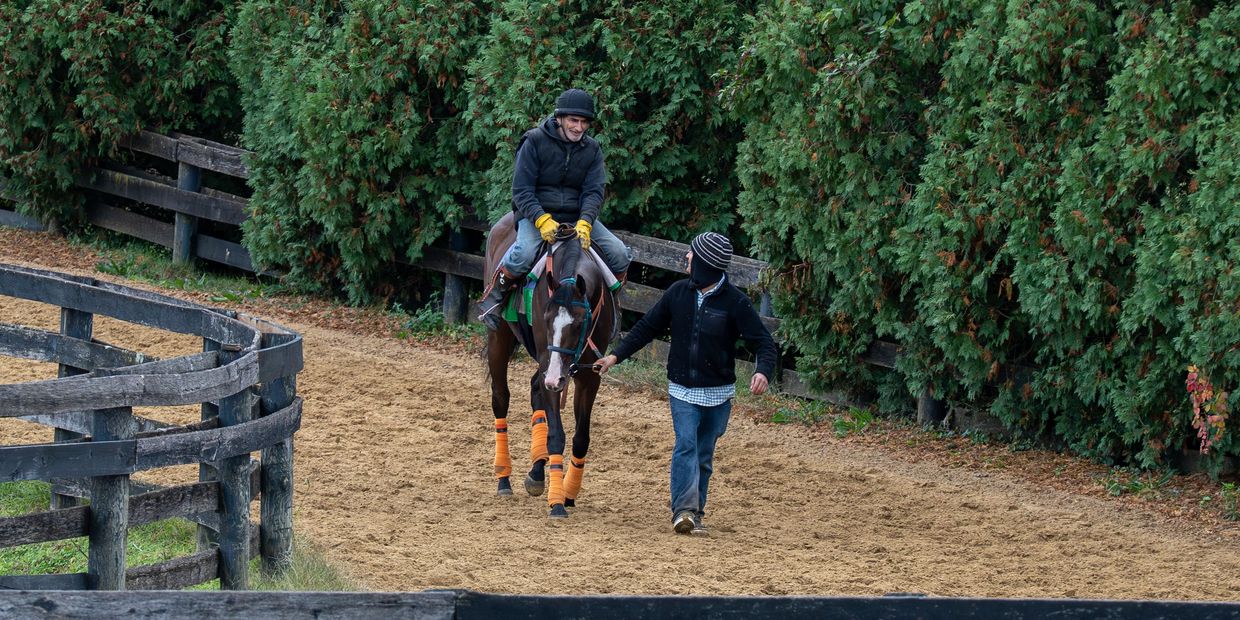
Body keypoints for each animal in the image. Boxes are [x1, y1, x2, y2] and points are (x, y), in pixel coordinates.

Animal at [482, 211, 617, 518]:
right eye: (545, 318)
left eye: (578, 323)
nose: (556, 379)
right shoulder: (550, 367)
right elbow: (557, 435)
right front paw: (556, 502)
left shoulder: (589, 376)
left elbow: (581, 438)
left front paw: (568, 492)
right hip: (500, 339)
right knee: (501, 399)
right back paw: (504, 477)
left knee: (535, 390)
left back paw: (536, 471)